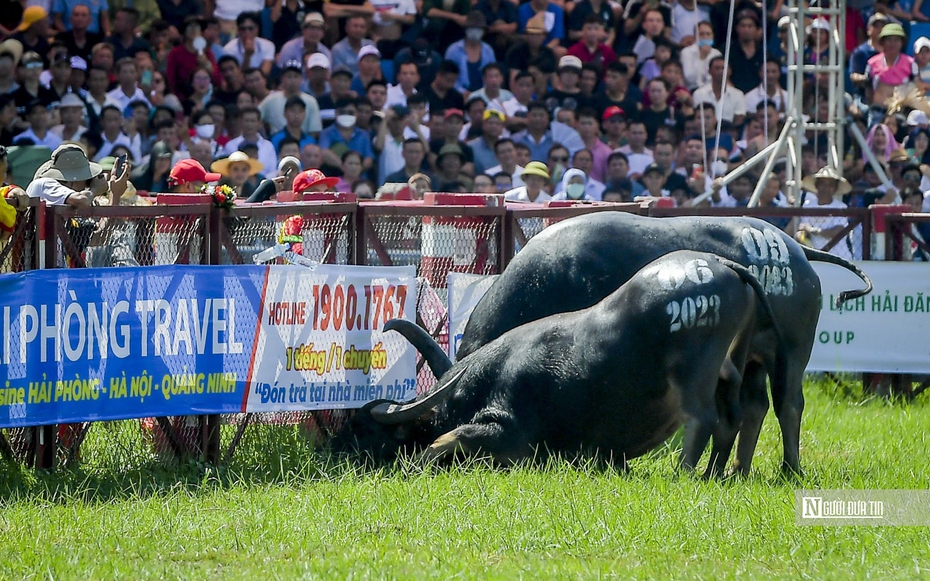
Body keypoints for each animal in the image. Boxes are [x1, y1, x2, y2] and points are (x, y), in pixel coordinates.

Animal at [338, 249, 780, 466]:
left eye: (363, 429)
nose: (339, 452)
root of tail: (720, 263)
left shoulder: (511, 432)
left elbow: (445, 441)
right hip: (731, 368)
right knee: (731, 418)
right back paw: (717, 475)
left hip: (693, 374)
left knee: (702, 419)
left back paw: (683, 474)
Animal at [396, 213, 872, 476]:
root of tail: (795, 250)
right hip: (751, 358)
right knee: (753, 407)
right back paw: (738, 470)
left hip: (792, 350)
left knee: (789, 404)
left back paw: (789, 470)